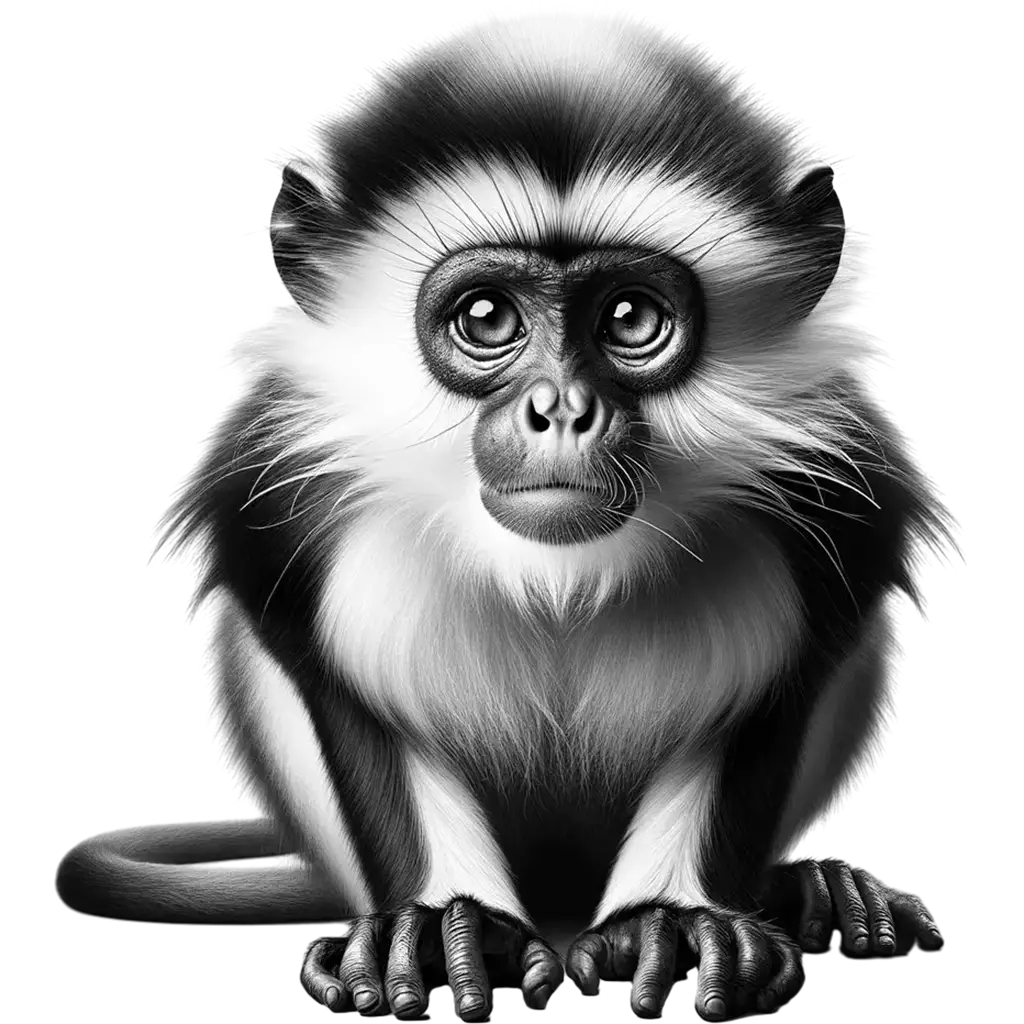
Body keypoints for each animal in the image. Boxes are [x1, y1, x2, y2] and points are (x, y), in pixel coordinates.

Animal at [53, 10, 961, 1021]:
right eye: (487, 317)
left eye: (630, 319)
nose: (560, 410)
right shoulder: (283, 481)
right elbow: (318, 663)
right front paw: (438, 925)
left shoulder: (828, 483)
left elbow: (793, 669)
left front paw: (675, 919)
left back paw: (813, 889)